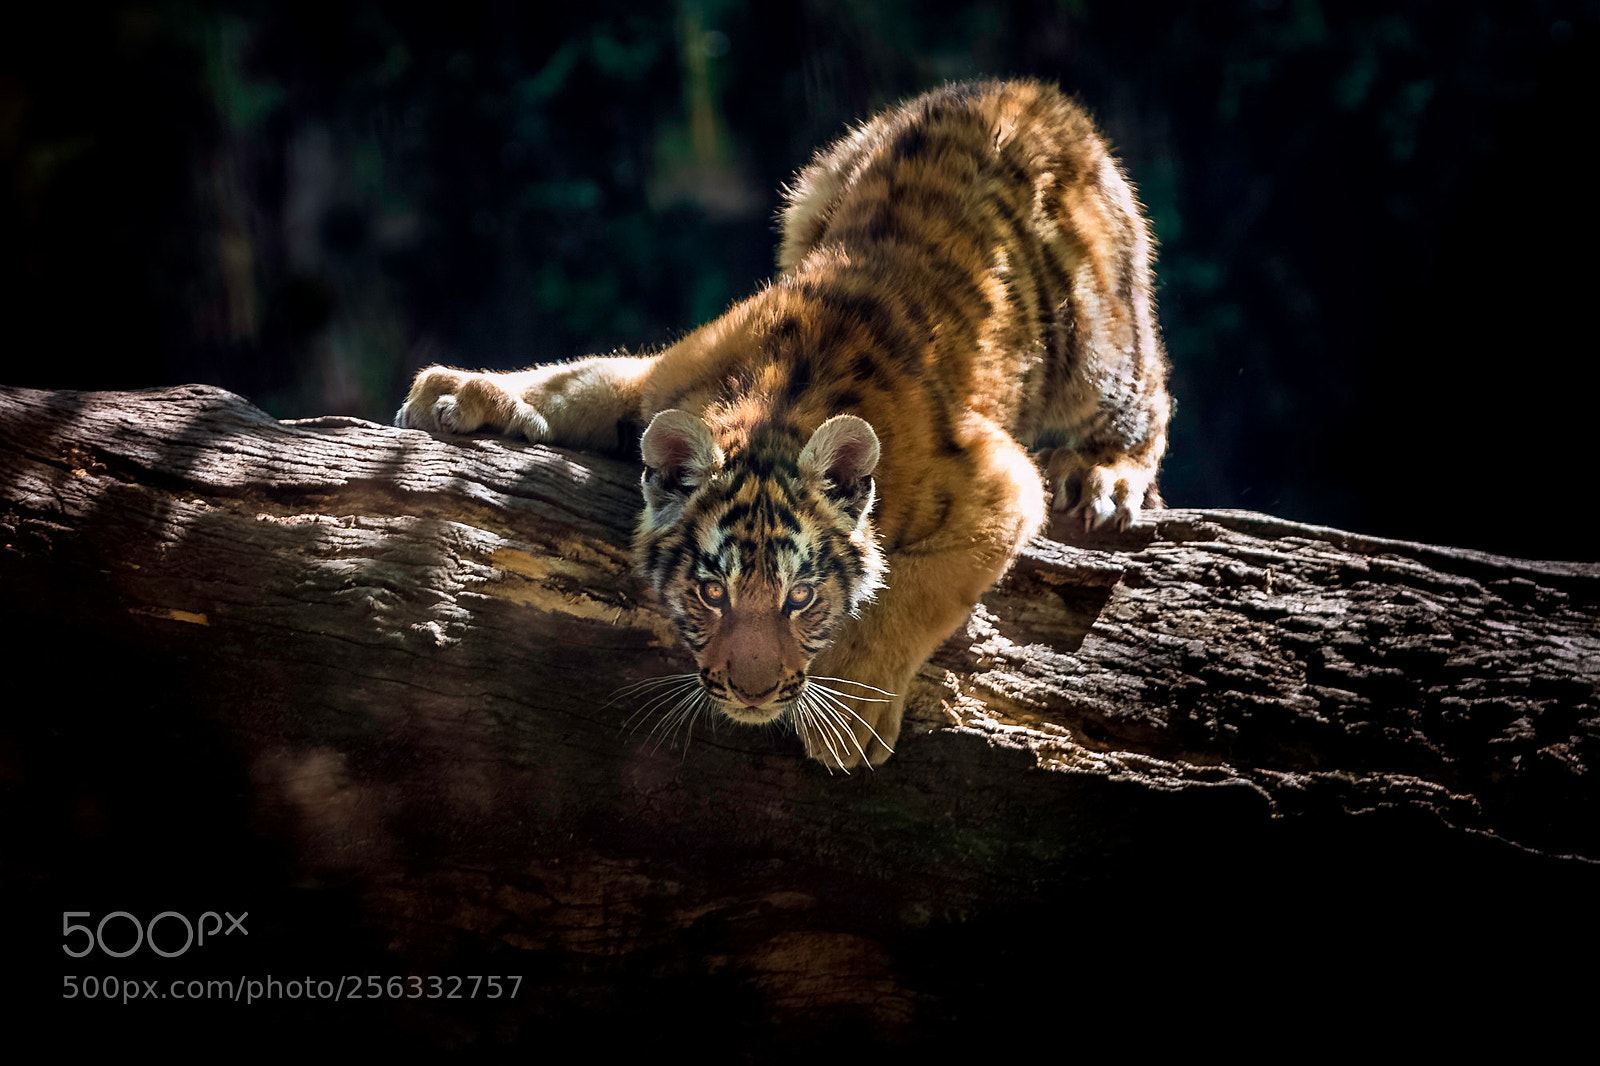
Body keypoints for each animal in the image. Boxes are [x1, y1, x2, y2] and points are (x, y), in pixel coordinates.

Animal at [395, 79, 1170, 770]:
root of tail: (1030, 91)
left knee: (1148, 391)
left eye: (801, 597)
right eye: (712, 593)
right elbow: (574, 380)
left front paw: (853, 712)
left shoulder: (998, 481)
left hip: (1096, 340)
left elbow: (921, 588)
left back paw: (1105, 476)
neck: (770, 413)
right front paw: (459, 389)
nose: (753, 693)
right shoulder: (661, 378)